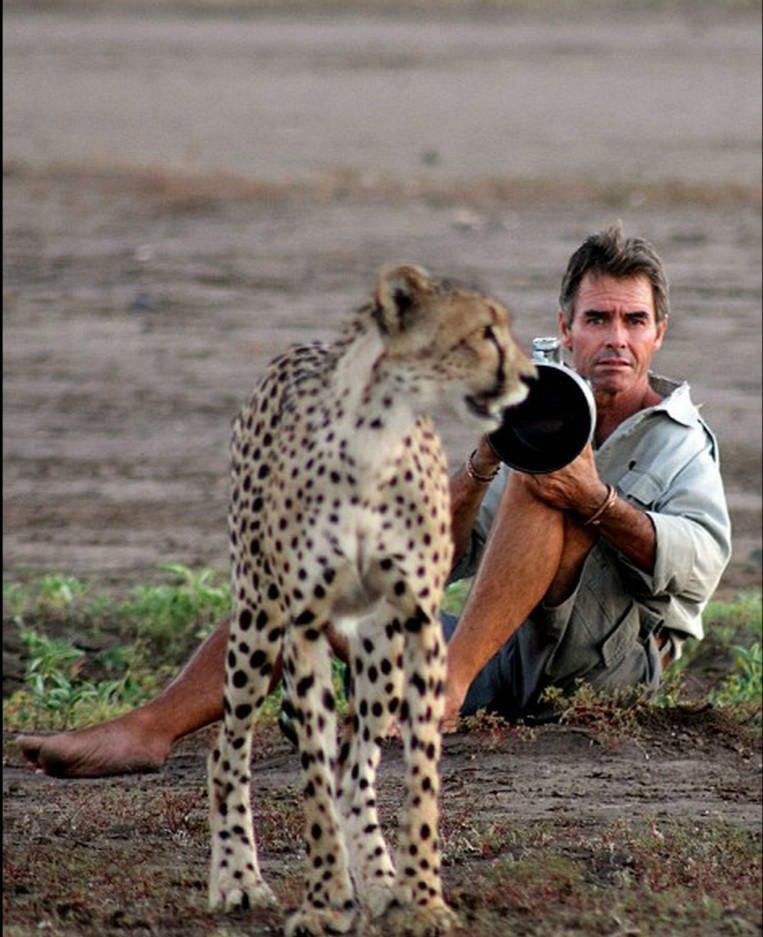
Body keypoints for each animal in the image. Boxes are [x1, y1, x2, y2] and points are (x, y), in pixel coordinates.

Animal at [206, 264, 536, 936]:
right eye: (484, 333)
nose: (530, 378)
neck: (375, 441)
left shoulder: (420, 622)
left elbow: (419, 778)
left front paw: (423, 898)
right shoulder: (303, 625)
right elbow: (312, 776)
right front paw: (324, 901)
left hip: (378, 647)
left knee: (355, 763)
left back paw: (383, 883)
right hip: (257, 617)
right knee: (228, 749)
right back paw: (239, 880)